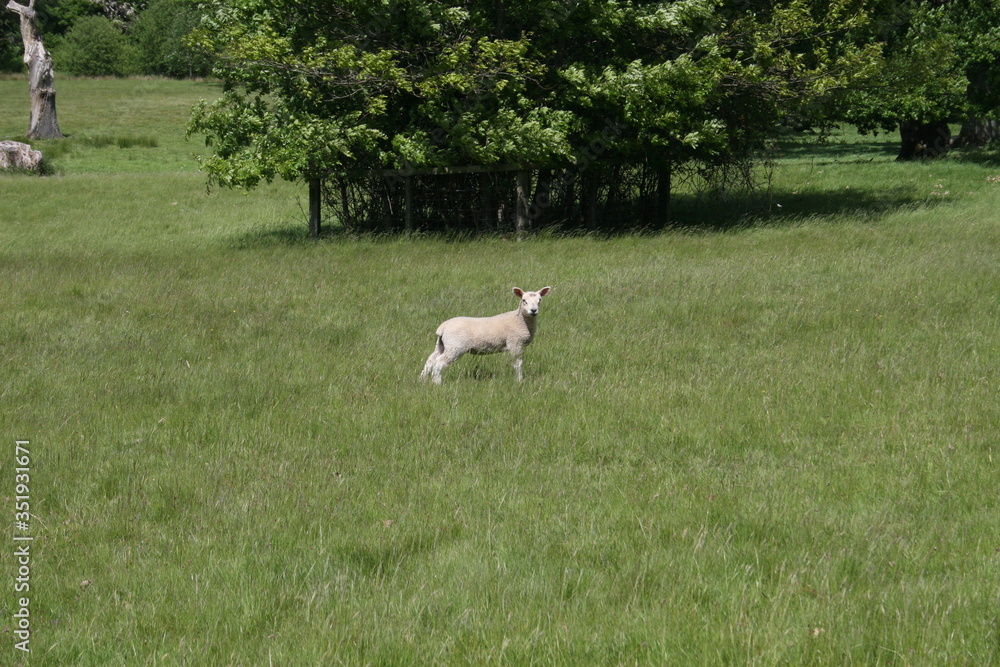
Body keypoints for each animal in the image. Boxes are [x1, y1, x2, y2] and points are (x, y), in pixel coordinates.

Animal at [420, 286, 552, 384]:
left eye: (540, 300)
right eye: (524, 300)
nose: (533, 311)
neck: (520, 320)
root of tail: (442, 328)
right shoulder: (515, 343)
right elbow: (517, 364)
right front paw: (519, 381)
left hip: (442, 344)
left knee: (430, 360)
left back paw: (422, 380)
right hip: (455, 346)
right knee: (439, 363)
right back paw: (437, 383)